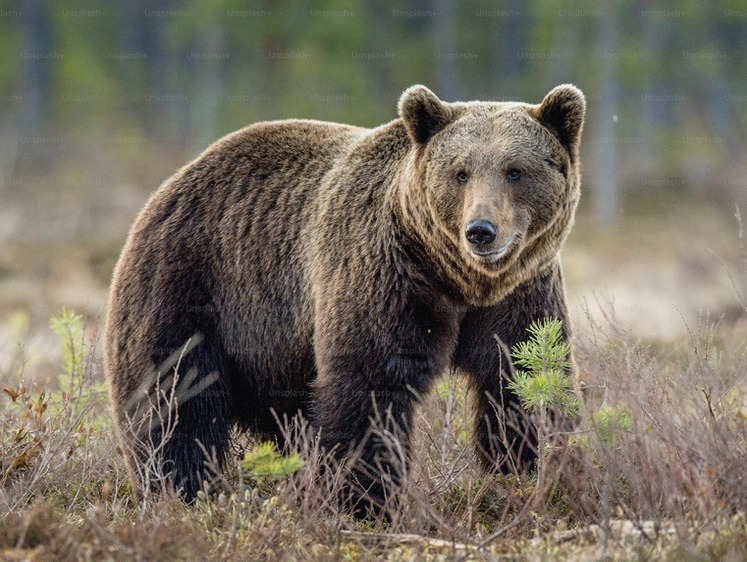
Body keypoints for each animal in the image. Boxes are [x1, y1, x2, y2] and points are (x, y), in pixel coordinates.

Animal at [105, 82, 584, 512]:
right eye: (460, 172)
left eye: (515, 170)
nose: (481, 230)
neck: (458, 280)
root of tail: (169, 185)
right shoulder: (387, 275)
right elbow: (370, 382)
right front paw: (363, 500)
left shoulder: (521, 293)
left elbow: (522, 374)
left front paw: (533, 470)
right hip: (191, 286)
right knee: (174, 398)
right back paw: (179, 488)